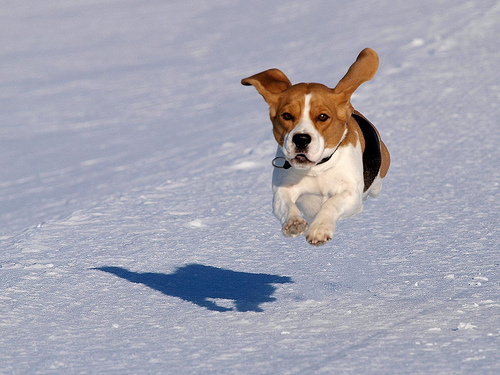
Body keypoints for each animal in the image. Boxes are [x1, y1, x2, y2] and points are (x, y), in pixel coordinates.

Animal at [242, 47, 390, 247]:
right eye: (287, 115)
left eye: (322, 116)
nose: (301, 139)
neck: (316, 168)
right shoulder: (281, 191)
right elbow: (286, 203)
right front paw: (294, 223)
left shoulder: (351, 194)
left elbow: (331, 203)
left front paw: (320, 229)